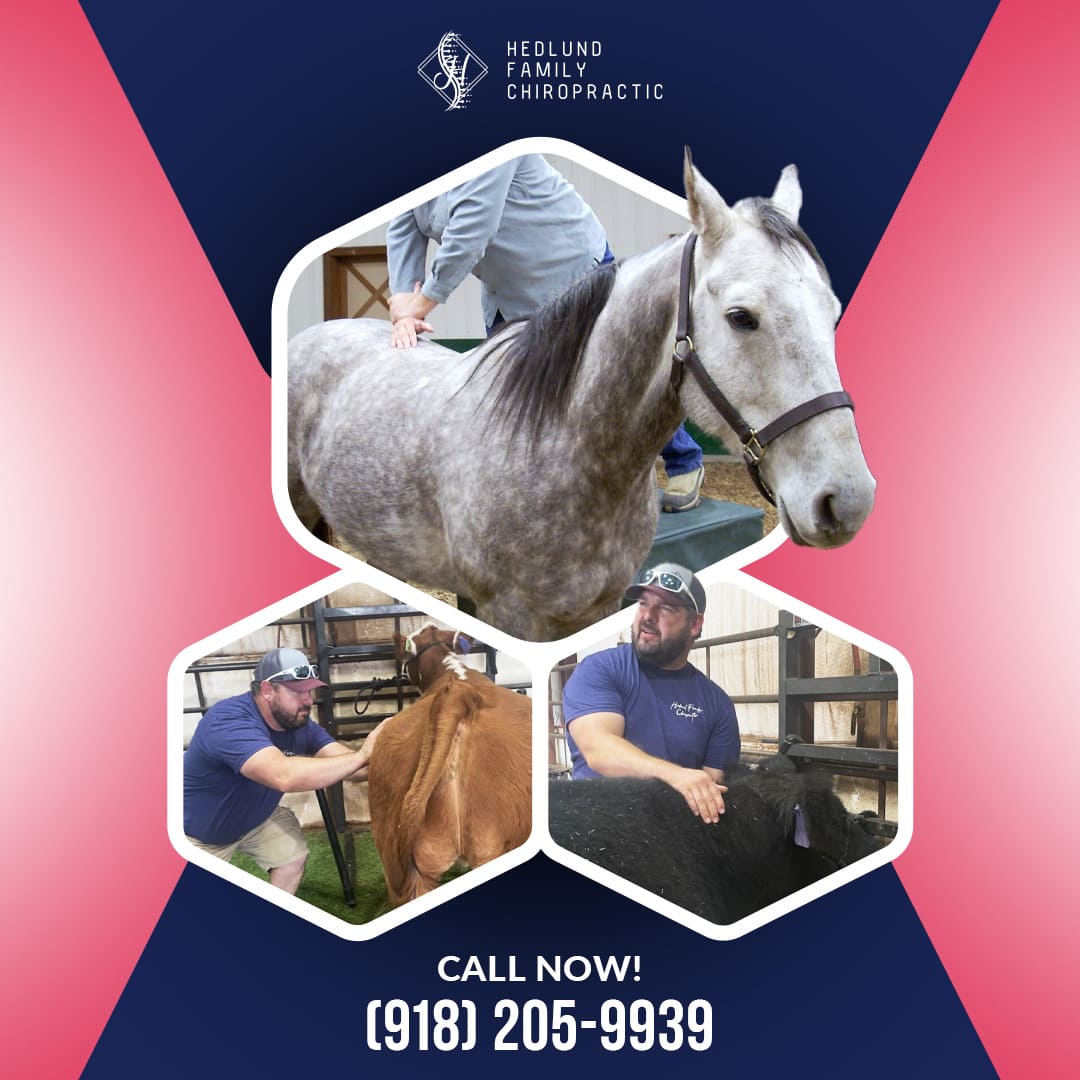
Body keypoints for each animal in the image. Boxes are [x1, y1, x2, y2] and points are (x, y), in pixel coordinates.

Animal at [288, 151, 876, 641]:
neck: (563, 447)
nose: (846, 500)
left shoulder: (599, 605)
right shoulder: (514, 615)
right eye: (740, 317)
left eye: (833, 312)